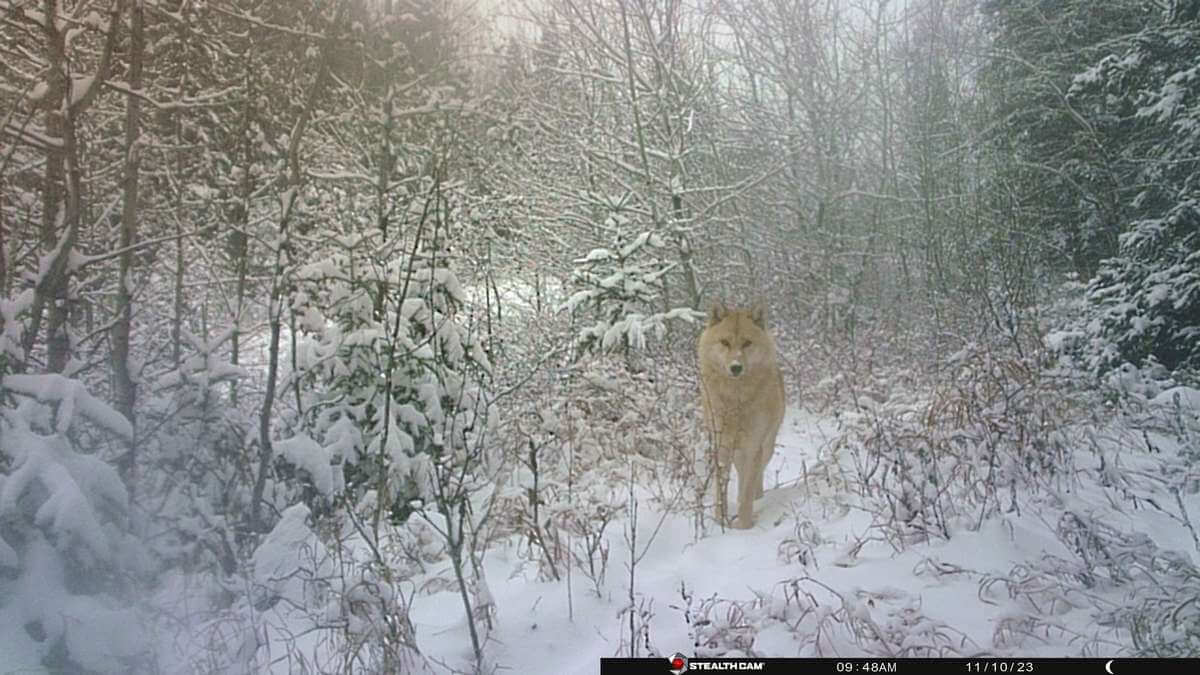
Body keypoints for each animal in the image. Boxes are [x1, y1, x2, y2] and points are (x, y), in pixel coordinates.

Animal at [697, 300, 786, 529]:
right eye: (725, 342)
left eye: (747, 343)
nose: (736, 367)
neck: (736, 402)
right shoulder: (722, 447)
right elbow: (721, 487)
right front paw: (720, 521)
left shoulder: (753, 447)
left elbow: (747, 491)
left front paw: (743, 526)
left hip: (766, 447)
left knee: (755, 478)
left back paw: (758, 499)